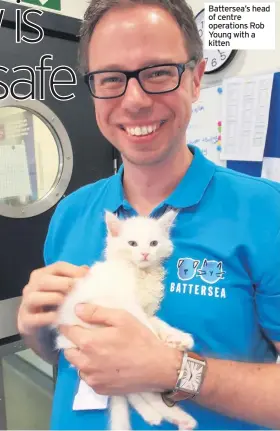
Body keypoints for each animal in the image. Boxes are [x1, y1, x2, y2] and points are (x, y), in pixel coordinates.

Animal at [53, 209, 196, 428]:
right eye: (132, 244)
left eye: (153, 243)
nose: (145, 254)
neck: (139, 273)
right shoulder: (116, 301)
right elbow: (143, 322)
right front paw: (158, 340)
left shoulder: (145, 309)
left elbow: (157, 322)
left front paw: (177, 338)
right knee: (134, 390)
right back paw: (161, 415)